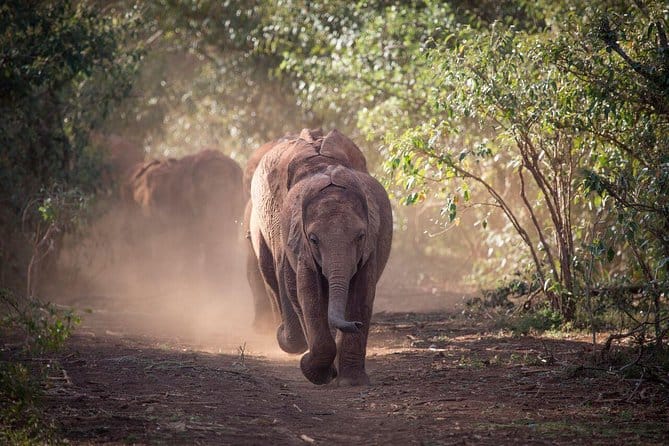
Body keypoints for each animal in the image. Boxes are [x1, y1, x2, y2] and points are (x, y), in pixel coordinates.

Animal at [245, 129, 392, 386]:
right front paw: (316, 371)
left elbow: (362, 293)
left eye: (360, 236)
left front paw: (351, 382)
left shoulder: (369, 246)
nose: (355, 325)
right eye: (313, 239)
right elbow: (306, 291)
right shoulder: (293, 236)